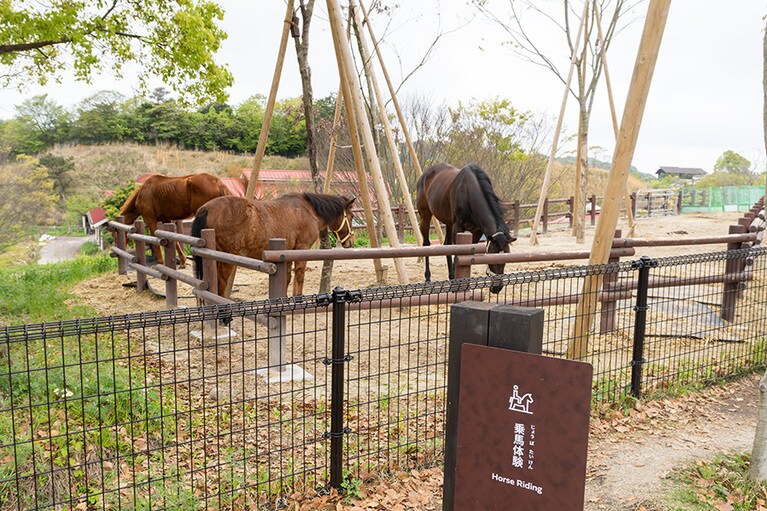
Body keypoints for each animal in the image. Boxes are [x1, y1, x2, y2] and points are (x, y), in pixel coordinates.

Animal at [191, 192, 356, 299]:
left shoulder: (288, 252)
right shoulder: (302, 249)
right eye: (352, 216)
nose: (351, 241)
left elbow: (287, 278)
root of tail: (206, 209)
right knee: (220, 284)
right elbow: (299, 276)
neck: (308, 210)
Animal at [416, 163, 514, 294]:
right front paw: (456, 287)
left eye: (506, 257)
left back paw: (451, 276)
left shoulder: (477, 231)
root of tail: (425, 174)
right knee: (426, 244)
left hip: (448, 223)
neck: (469, 192)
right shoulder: (458, 226)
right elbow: (458, 251)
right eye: (492, 256)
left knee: (447, 245)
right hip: (425, 216)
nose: (497, 288)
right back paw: (427, 278)